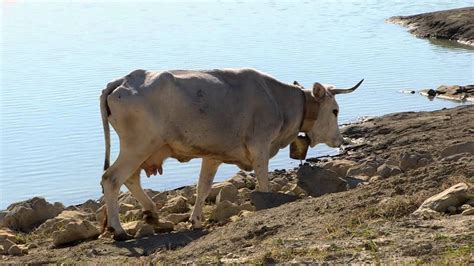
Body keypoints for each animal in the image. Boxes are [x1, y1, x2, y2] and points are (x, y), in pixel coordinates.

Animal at [98, 67, 362, 240]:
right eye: (335, 111)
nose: (341, 140)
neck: (279, 100)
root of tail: (122, 80)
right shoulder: (260, 147)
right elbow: (264, 183)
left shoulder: (212, 155)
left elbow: (203, 187)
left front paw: (195, 221)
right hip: (138, 145)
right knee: (112, 179)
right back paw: (119, 231)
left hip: (143, 149)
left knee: (130, 179)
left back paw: (152, 214)